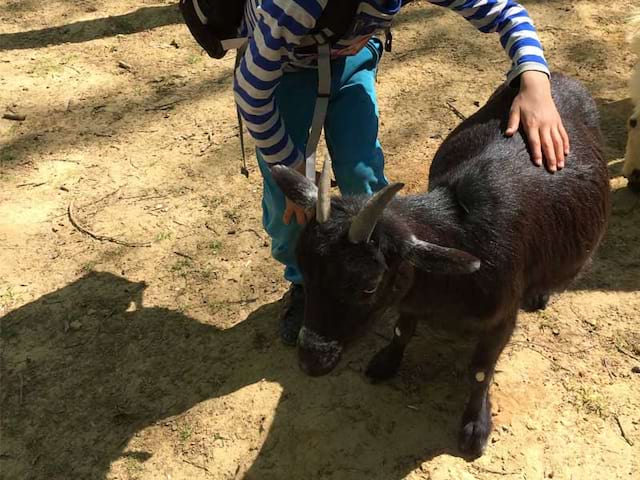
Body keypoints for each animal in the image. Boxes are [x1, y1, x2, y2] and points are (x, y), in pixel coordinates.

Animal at [272, 73, 608, 456]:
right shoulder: (410, 296)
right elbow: (402, 331)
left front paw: (475, 428)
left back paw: (539, 296)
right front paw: (385, 363)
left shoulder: (501, 318)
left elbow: (480, 370)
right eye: (303, 269)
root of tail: (564, 79)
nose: (310, 360)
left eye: (368, 286)